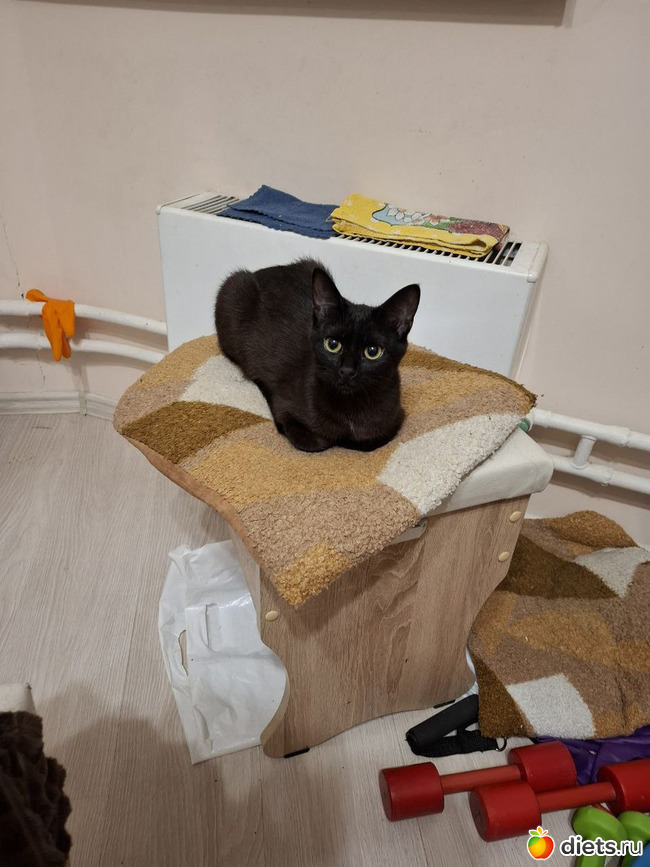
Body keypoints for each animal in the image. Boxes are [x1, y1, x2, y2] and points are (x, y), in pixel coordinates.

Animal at [214, 258, 420, 452]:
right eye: (332, 344)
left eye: (372, 351)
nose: (346, 370)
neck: (351, 407)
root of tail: (265, 270)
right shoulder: (284, 408)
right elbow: (316, 441)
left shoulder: (395, 418)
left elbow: (369, 440)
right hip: (232, 291)